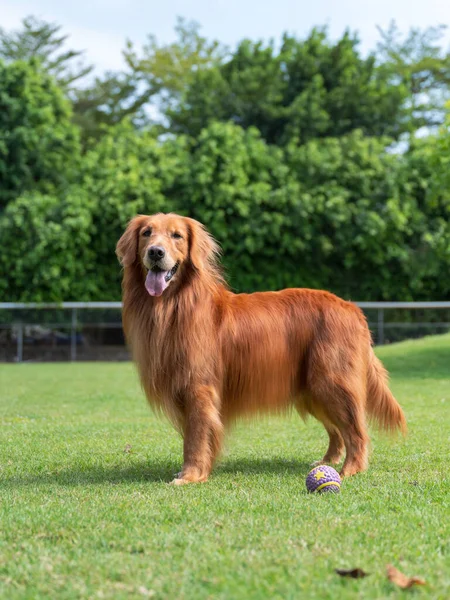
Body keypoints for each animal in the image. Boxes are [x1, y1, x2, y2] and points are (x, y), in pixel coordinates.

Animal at [118, 213, 406, 486]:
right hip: (312, 389)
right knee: (337, 430)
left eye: (176, 235)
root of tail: (351, 307)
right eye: (147, 233)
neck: (174, 305)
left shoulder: (199, 388)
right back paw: (327, 461)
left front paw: (190, 475)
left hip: (331, 380)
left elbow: (195, 439)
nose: (155, 252)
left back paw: (350, 469)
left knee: (356, 430)